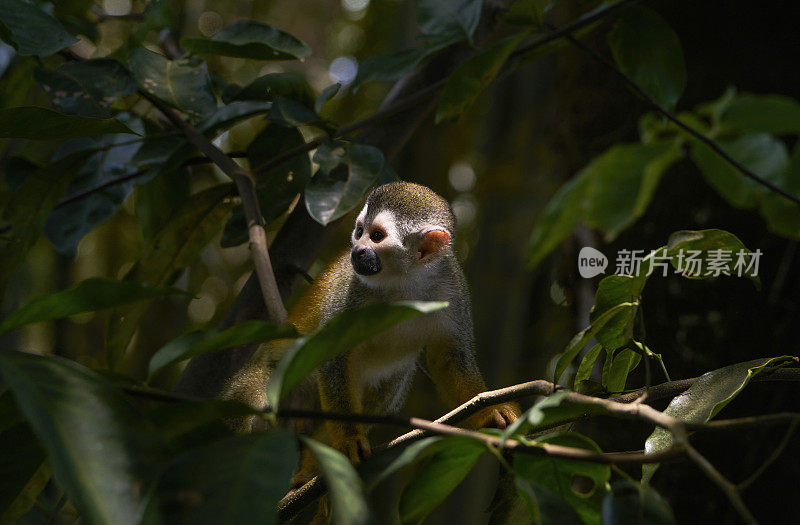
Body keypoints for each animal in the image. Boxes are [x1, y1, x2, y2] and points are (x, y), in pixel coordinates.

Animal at [222, 182, 520, 482]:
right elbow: (332, 355)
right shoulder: (350, 288)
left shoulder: (452, 286)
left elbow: (450, 358)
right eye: (359, 231)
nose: (358, 250)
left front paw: (490, 411)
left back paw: (310, 467)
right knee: (246, 400)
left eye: (377, 236)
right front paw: (348, 440)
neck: (403, 280)